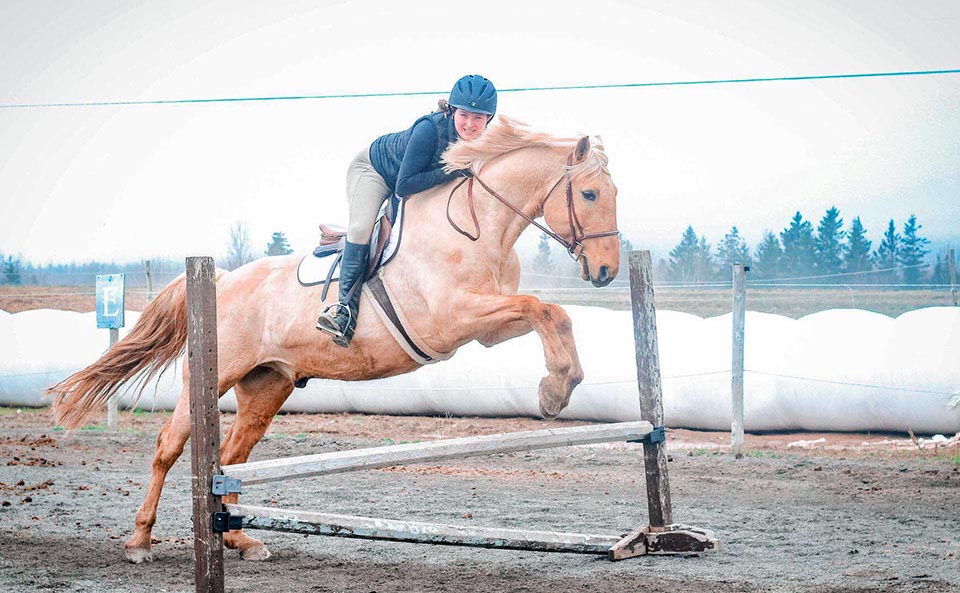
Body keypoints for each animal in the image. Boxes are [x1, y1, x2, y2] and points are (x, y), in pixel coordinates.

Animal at [48, 114, 624, 560]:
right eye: (590, 193)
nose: (606, 272)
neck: (478, 226)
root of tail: (221, 279)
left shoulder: (486, 328)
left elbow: (552, 313)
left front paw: (558, 387)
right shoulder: (451, 317)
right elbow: (542, 308)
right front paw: (555, 390)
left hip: (267, 384)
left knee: (233, 457)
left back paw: (240, 541)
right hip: (212, 376)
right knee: (169, 446)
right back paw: (139, 541)